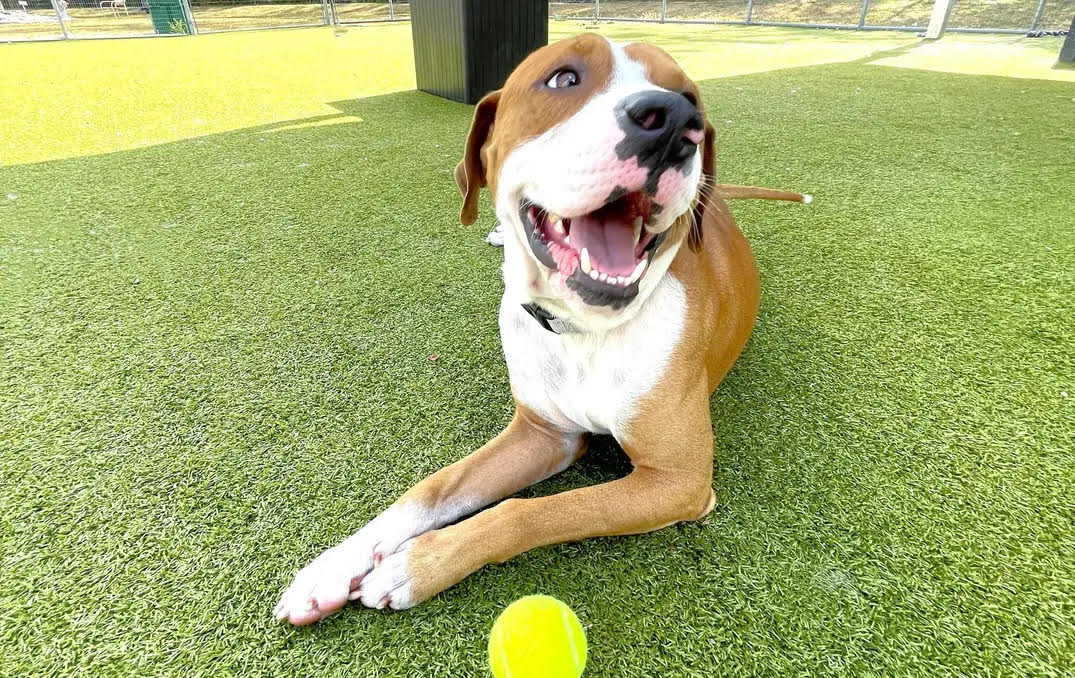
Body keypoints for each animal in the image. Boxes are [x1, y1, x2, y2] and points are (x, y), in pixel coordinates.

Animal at [275, 34, 808, 623]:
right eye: (563, 78)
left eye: (689, 95)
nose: (674, 120)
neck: (584, 332)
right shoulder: (540, 433)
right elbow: (431, 489)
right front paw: (333, 565)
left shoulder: (678, 480)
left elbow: (528, 511)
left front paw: (415, 564)